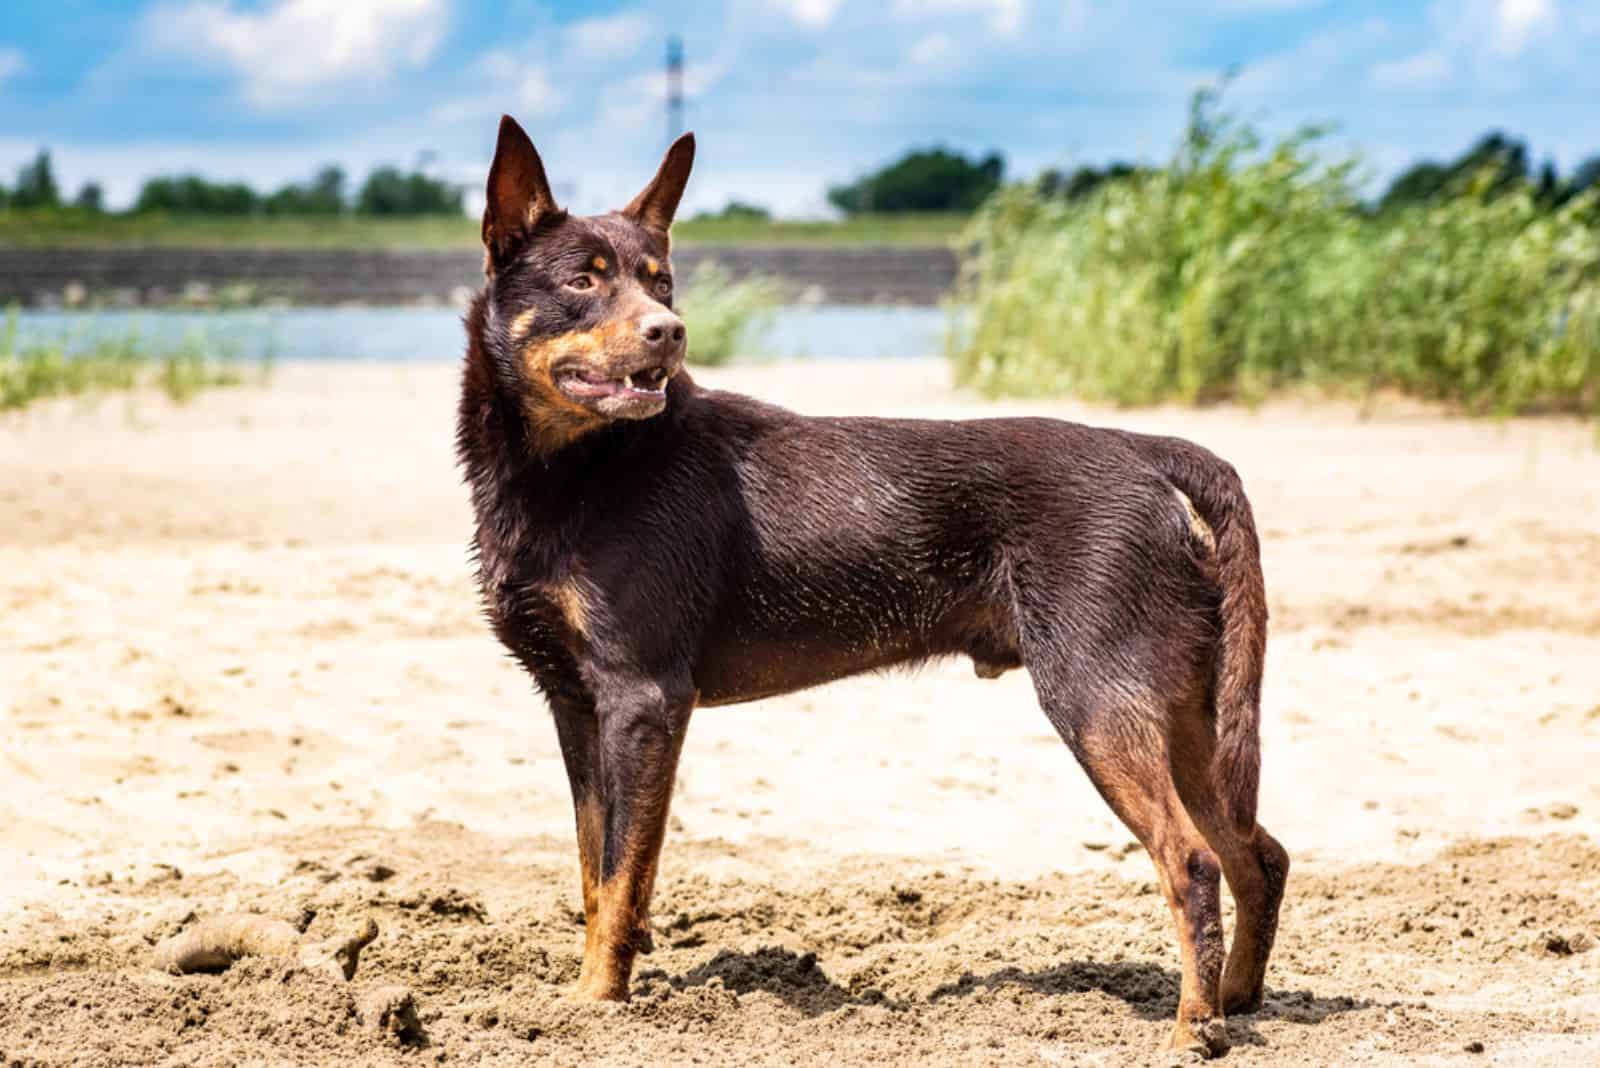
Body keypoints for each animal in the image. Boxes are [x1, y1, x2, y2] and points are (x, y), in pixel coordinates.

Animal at [454, 116, 1286, 1061]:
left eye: (660, 280)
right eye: (583, 281)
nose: (671, 331)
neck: (577, 471)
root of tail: (1149, 451)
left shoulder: (643, 698)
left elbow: (624, 872)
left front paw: (597, 1005)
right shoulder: (572, 700)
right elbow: (596, 872)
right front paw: (589, 994)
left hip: (1097, 699)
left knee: (1192, 859)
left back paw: (1192, 1027)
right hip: (1185, 708)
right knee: (1258, 855)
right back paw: (1236, 1000)